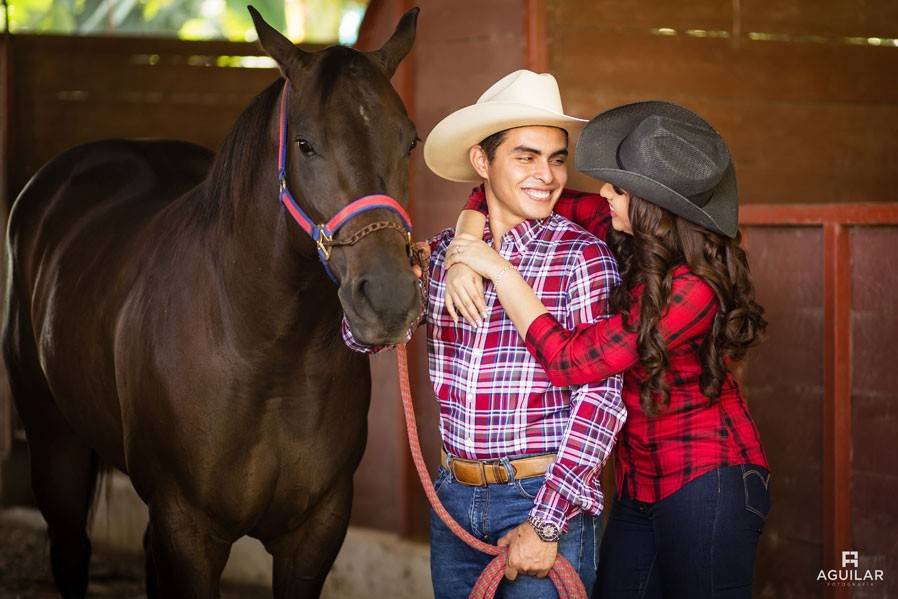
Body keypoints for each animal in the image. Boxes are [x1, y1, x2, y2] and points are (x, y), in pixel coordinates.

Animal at [1, 7, 422, 596]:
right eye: (305, 144)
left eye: (409, 142)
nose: (388, 297)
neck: (269, 357)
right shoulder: (189, 527)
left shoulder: (316, 532)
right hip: (54, 443)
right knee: (69, 550)